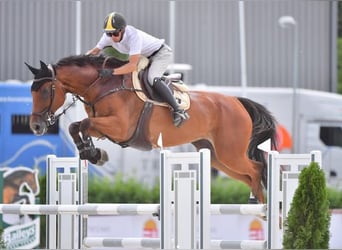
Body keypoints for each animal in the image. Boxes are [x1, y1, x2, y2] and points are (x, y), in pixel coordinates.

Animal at [26, 55, 278, 203]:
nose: (36, 126)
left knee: (256, 169)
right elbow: (76, 126)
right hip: (217, 157)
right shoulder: (106, 128)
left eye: (45, 91)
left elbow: (84, 125)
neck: (102, 86)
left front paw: (93, 153)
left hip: (230, 153)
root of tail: (237, 102)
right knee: (248, 175)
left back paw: (260, 207)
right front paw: (92, 153)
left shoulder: (119, 127)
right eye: (31, 91)